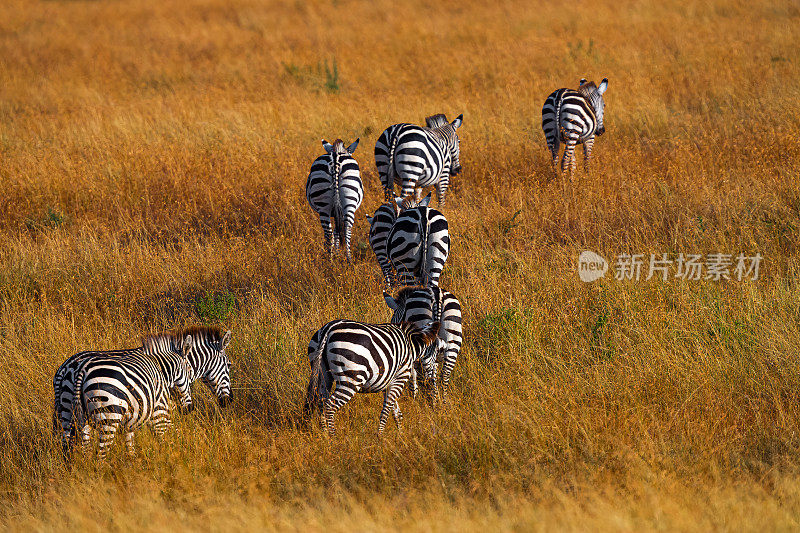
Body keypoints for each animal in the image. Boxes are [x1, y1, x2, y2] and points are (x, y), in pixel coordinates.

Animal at [54, 326, 231, 456]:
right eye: (229, 365)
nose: (228, 401)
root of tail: (67, 367)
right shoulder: (162, 407)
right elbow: (168, 432)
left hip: (67, 410)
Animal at [304, 318, 440, 434]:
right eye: (437, 353)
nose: (435, 408)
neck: (412, 346)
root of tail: (328, 329)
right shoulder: (399, 378)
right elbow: (386, 410)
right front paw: (380, 437)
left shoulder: (389, 382)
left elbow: (396, 412)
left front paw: (401, 436)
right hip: (351, 379)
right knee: (330, 406)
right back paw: (333, 437)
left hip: (323, 375)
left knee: (321, 403)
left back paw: (325, 436)